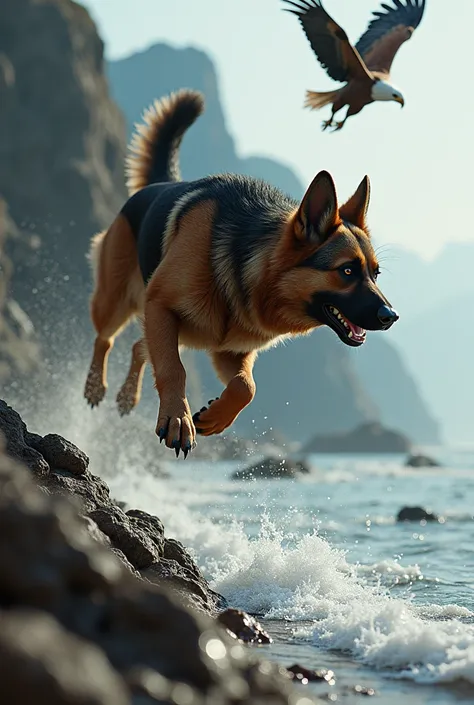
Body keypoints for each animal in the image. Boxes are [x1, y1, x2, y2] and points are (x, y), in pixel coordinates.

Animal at [83, 88, 398, 460]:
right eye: (347, 271)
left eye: (376, 274)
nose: (391, 316)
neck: (245, 268)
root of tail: (162, 183)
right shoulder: (161, 305)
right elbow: (174, 369)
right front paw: (178, 419)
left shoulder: (231, 351)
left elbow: (247, 386)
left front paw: (215, 417)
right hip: (119, 302)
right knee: (106, 338)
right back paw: (95, 386)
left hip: (180, 332)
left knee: (137, 346)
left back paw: (127, 396)